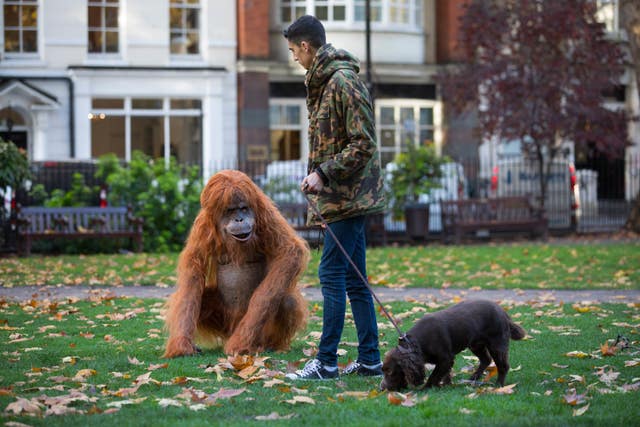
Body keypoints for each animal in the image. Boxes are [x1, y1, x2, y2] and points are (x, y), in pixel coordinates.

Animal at [380, 300, 524, 392]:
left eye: (390, 372)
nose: (381, 388)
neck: (416, 343)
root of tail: (503, 312)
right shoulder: (447, 360)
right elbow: (445, 373)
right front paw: (447, 385)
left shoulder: (445, 358)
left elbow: (434, 375)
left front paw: (425, 388)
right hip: (476, 344)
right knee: (486, 360)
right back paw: (473, 378)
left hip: (497, 344)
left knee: (503, 366)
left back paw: (498, 385)